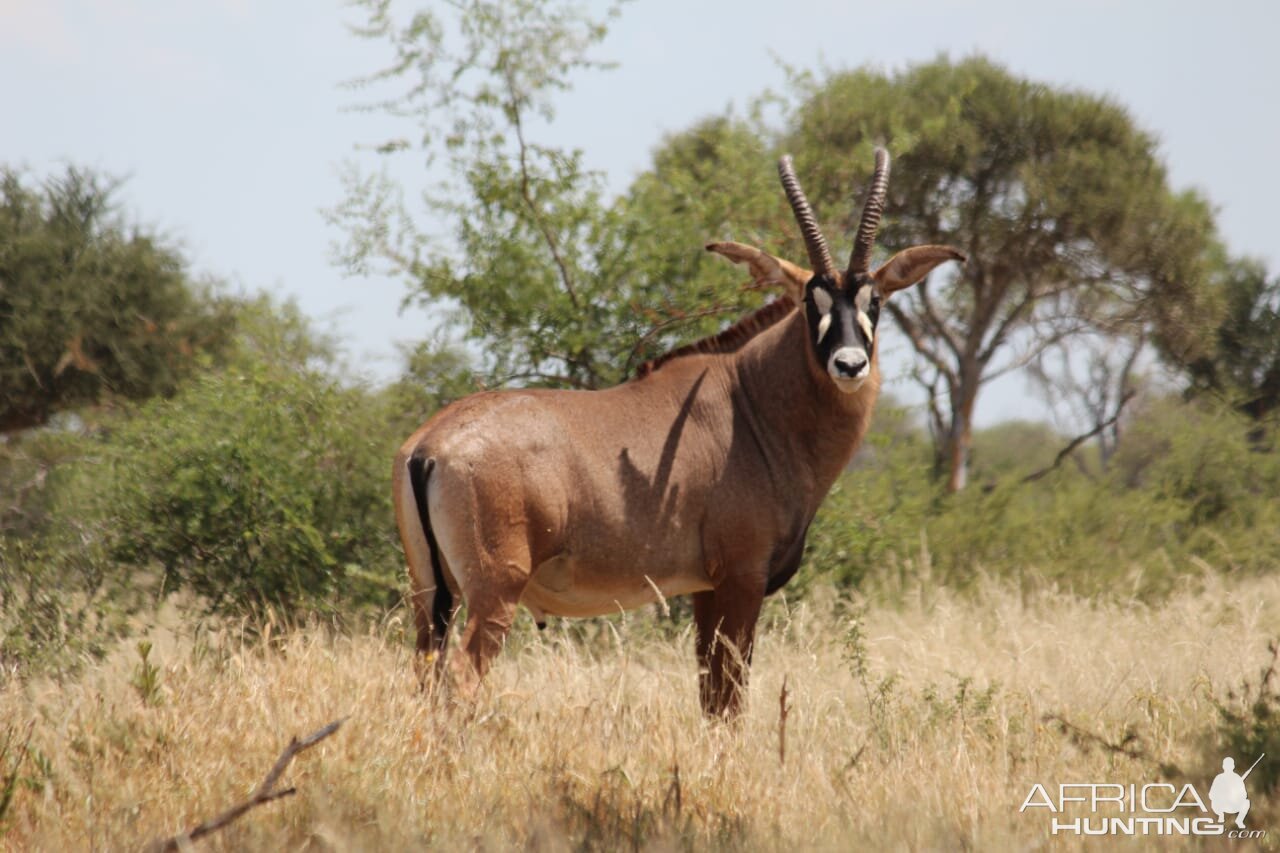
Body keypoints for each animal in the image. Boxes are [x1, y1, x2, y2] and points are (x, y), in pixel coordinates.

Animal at [394, 149, 962, 712]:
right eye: (809, 302)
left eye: (874, 301)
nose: (849, 364)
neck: (749, 400)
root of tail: (430, 447)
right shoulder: (740, 578)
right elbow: (729, 698)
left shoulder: (705, 589)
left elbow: (710, 695)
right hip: (495, 592)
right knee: (460, 680)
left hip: (432, 597)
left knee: (424, 677)